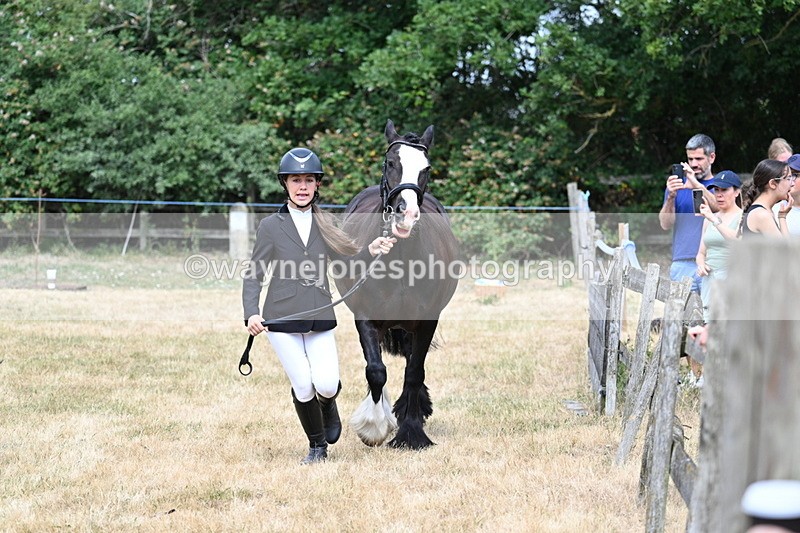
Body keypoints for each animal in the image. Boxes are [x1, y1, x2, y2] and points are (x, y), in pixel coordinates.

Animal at [335, 119, 459, 449]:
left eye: (426, 168)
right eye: (391, 163)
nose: (407, 214)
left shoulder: (427, 320)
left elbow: (414, 371)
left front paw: (411, 432)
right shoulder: (365, 317)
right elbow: (376, 370)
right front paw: (374, 427)